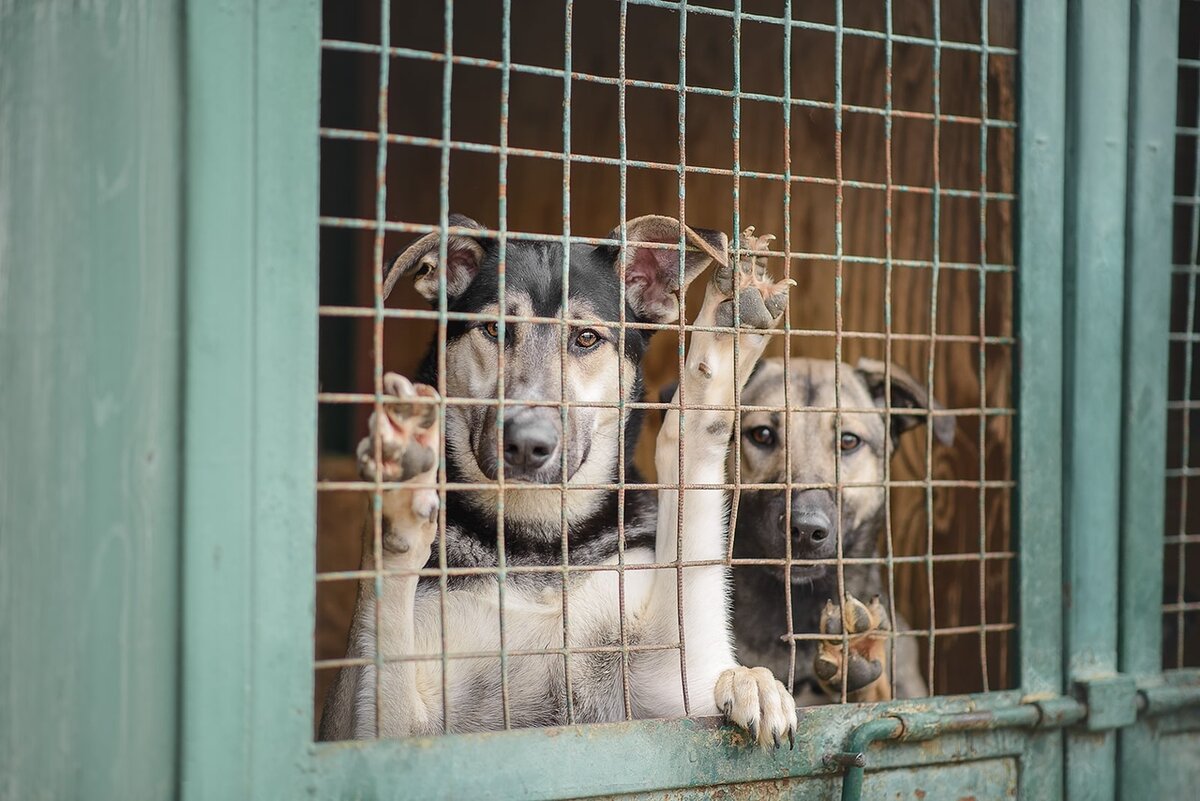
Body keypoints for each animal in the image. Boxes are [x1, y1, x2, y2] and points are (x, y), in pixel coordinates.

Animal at [321, 217, 806, 743]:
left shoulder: (676, 680)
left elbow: (691, 467)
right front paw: (400, 500)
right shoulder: (380, 726)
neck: (541, 541)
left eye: (587, 338)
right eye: (494, 328)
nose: (528, 444)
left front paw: (728, 326)